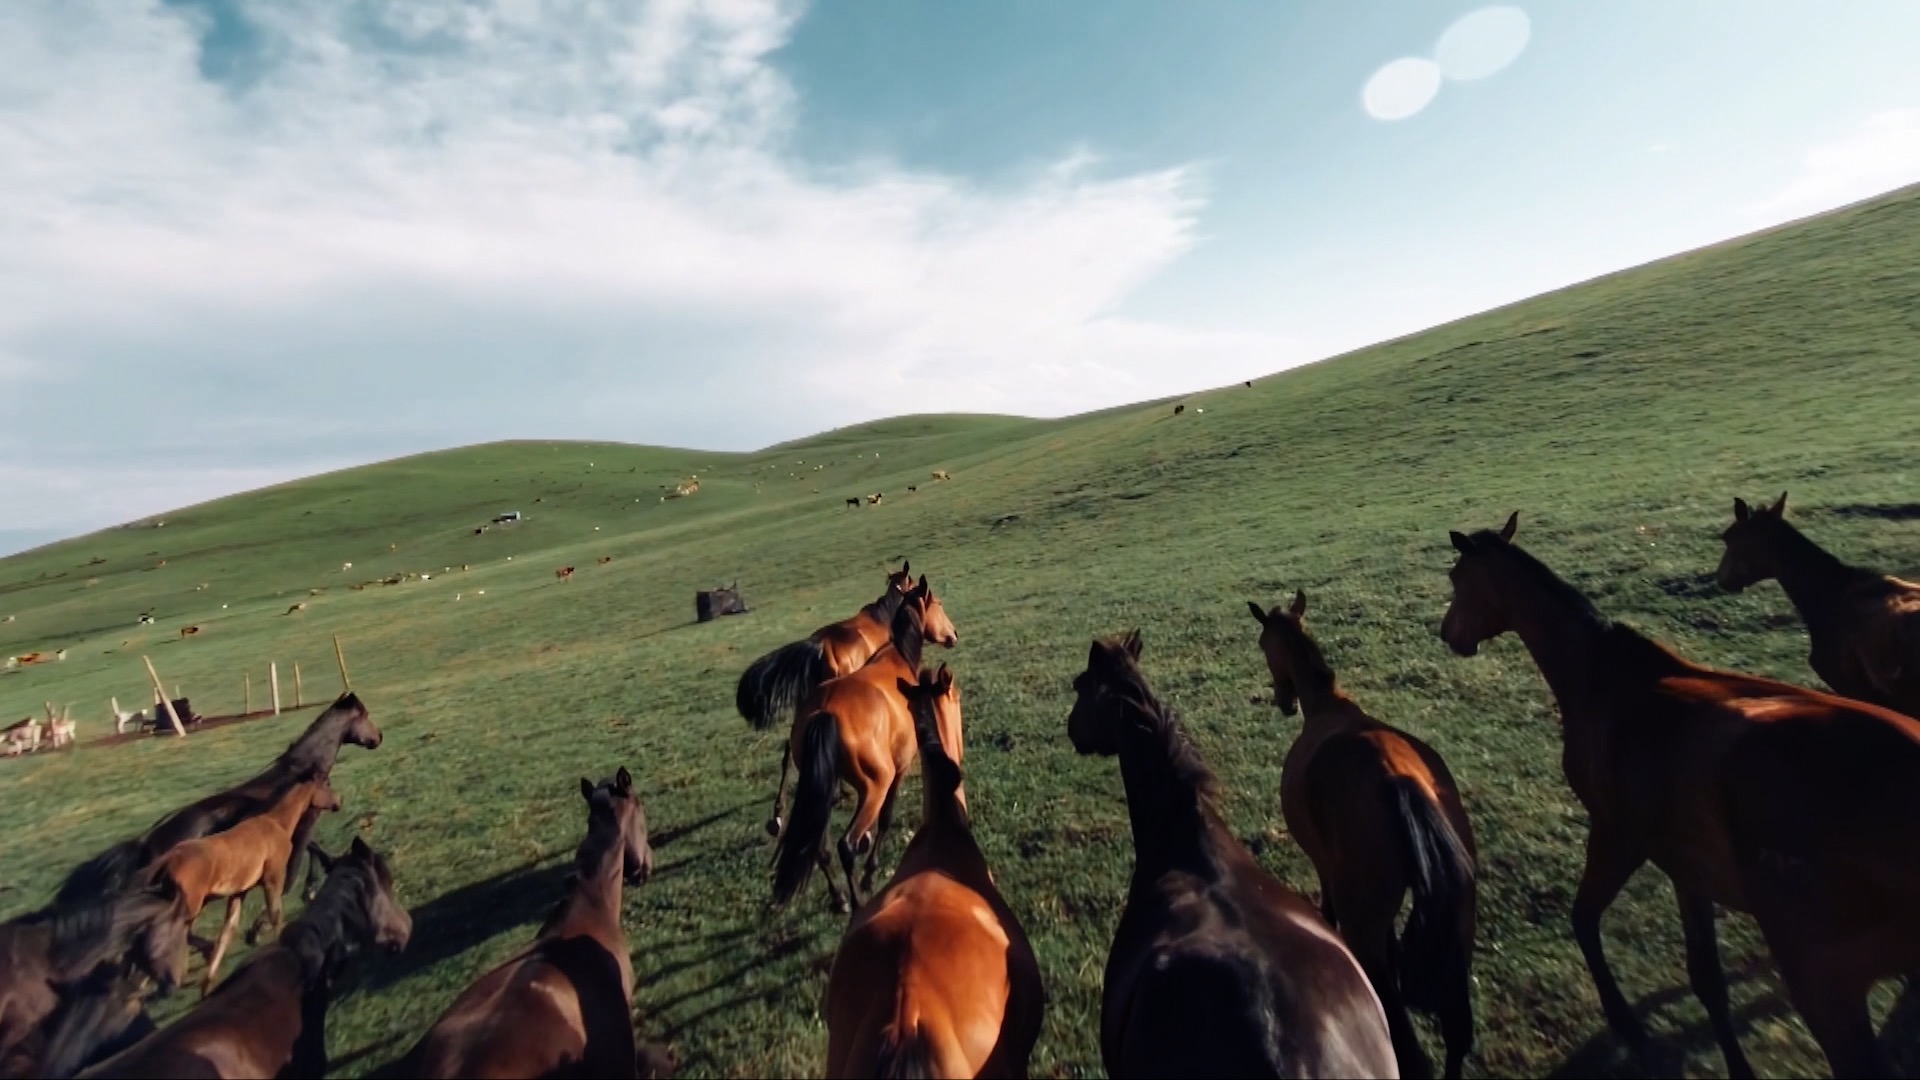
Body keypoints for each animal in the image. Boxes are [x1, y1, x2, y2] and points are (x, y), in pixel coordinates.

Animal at [54, 692, 381, 907]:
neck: (300, 772)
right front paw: (307, 888)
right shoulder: (303, 824)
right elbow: (303, 857)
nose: (378, 738)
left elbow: (314, 849)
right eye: (365, 715)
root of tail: (146, 842)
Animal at [143, 775, 342, 996]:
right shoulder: (273, 879)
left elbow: (228, 932)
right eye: (327, 785)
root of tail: (167, 861)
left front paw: (208, 985)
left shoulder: (239, 893)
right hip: (190, 908)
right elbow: (275, 915)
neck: (277, 823)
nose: (338, 801)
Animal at [771, 576, 960, 913]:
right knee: (844, 845)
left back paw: (840, 898)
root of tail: (824, 713)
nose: (954, 634)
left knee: (817, 846)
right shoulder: (899, 767)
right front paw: (870, 871)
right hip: (875, 786)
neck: (897, 658)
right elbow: (885, 820)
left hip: (820, 788)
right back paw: (858, 899)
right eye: (938, 603)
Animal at [1248, 592, 1478, 1078]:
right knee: (1456, 1035)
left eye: (1261, 644)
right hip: (1460, 921)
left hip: (1364, 931)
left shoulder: (1326, 866)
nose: (1283, 702)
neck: (1328, 704)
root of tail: (1398, 780)